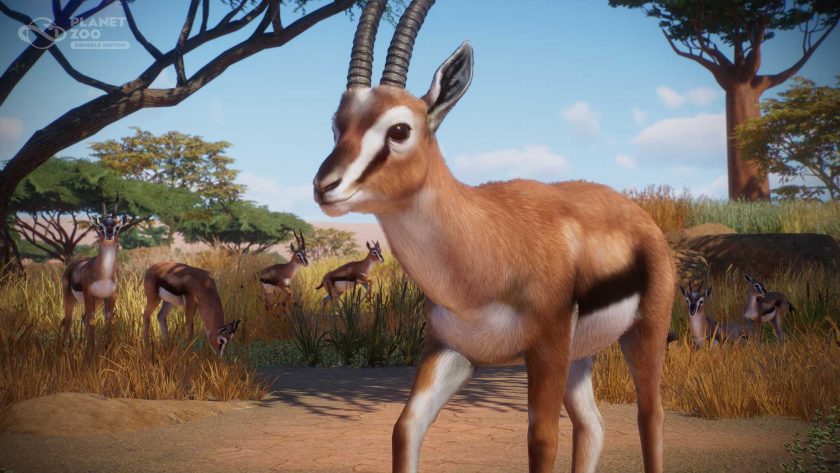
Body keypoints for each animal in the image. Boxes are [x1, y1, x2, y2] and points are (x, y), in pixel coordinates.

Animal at [61, 202, 124, 352]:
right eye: (100, 226)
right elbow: (92, 321)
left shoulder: (111, 296)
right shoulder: (89, 295)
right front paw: (92, 351)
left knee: (82, 318)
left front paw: (105, 349)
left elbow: (108, 321)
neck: (103, 275)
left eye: (117, 227)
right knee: (68, 321)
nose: (109, 234)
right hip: (70, 298)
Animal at [310, 1, 674, 472]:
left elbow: (541, 439)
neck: (480, 250)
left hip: (643, 332)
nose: (325, 186)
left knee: (650, 415)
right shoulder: (449, 348)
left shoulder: (545, 347)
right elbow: (405, 429)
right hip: (578, 356)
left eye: (400, 129)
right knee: (593, 426)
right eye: (338, 124)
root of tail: (639, 216)